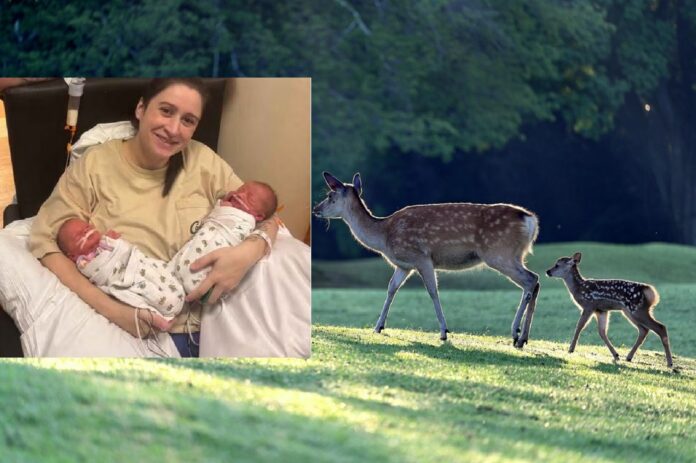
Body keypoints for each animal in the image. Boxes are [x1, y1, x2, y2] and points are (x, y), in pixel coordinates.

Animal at [313, 172, 541, 347]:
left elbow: (432, 290)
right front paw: (378, 327)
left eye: (330, 196)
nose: (315, 209)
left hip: (499, 253)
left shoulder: (421, 257)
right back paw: (524, 338)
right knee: (535, 280)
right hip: (514, 255)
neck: (384, 236)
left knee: (530, 280)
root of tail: (530, 221)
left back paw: (515, 333)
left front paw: (444, 332)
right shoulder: (403, 265)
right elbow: (391, 288)